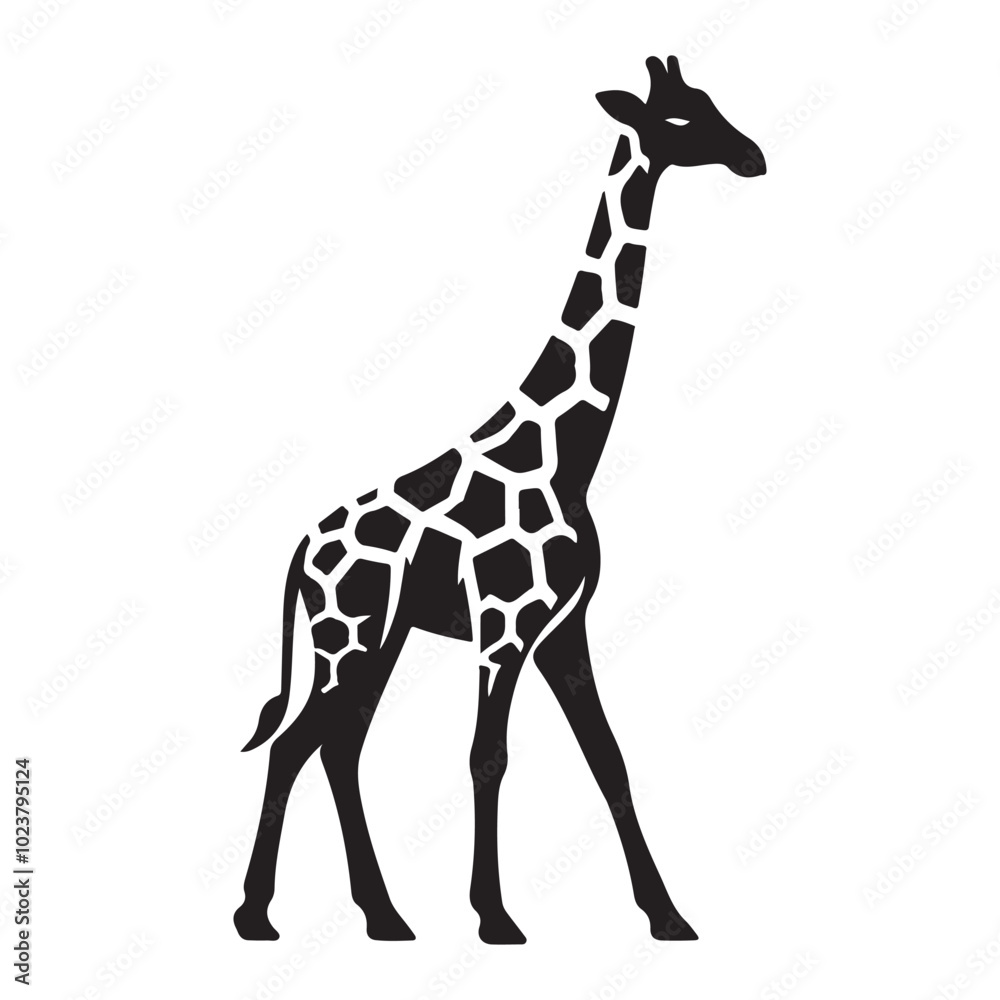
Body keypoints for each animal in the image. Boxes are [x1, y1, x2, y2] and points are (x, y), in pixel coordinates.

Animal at [234, 54, 765, 946]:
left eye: (711, 102)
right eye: (681, 119)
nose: (753, 156)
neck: (567, 456)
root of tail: (303, 549)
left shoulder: (562, 627)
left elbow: (609, 759)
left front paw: (667, 915)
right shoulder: (504, 624)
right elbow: (490, 755)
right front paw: (495, 916)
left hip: (378, 639)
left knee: (338, 746)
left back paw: (384, 916)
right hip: (348, 635)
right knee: (297, 744)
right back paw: (255, 916)